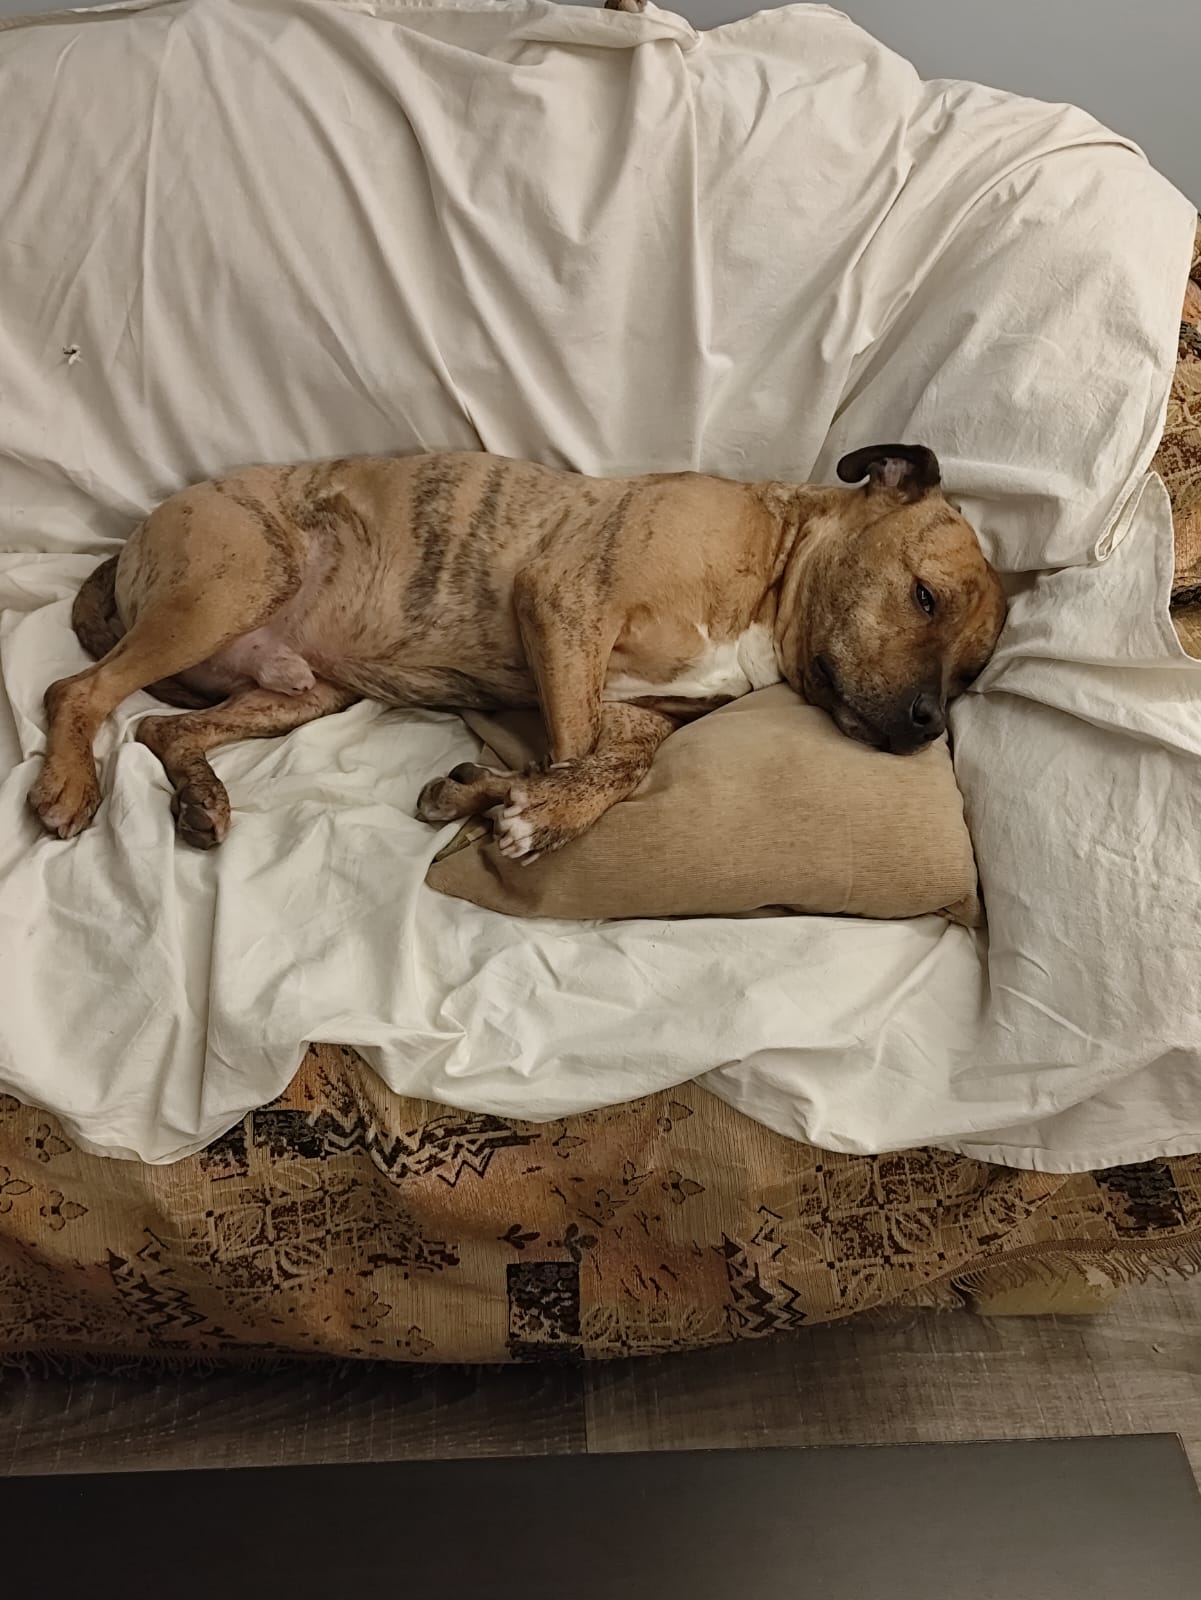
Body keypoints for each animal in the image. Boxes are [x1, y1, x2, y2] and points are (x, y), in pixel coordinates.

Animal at [29, 443, 1006, 861]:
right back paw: (68, 785)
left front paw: (506, 797)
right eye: (922, 596)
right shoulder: (566, 602)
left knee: (159, 729)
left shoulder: (635, 713)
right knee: (76, 692)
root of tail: (130, 547)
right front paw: (522, 806)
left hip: (304, 690)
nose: (926, 725)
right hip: (234, 582)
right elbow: (570, 753)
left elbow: (612, 766)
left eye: (970, 671)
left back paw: (200, 796)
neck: (772, 576)